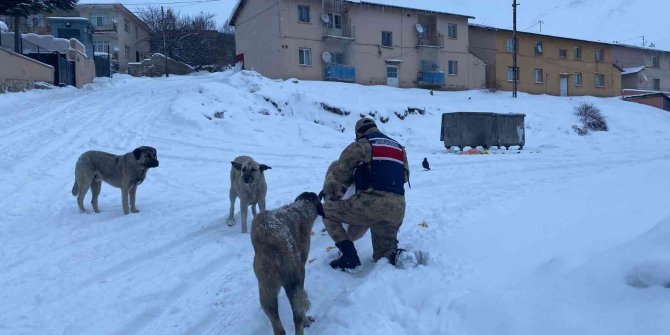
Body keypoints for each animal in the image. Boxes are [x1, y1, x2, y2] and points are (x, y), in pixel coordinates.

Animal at [252, 192, 326, 335]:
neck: (302, 207)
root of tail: (273, 250)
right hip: (294, 282)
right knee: (298, 316)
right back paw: (305, 321)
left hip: (267, 292)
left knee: (278, 327)